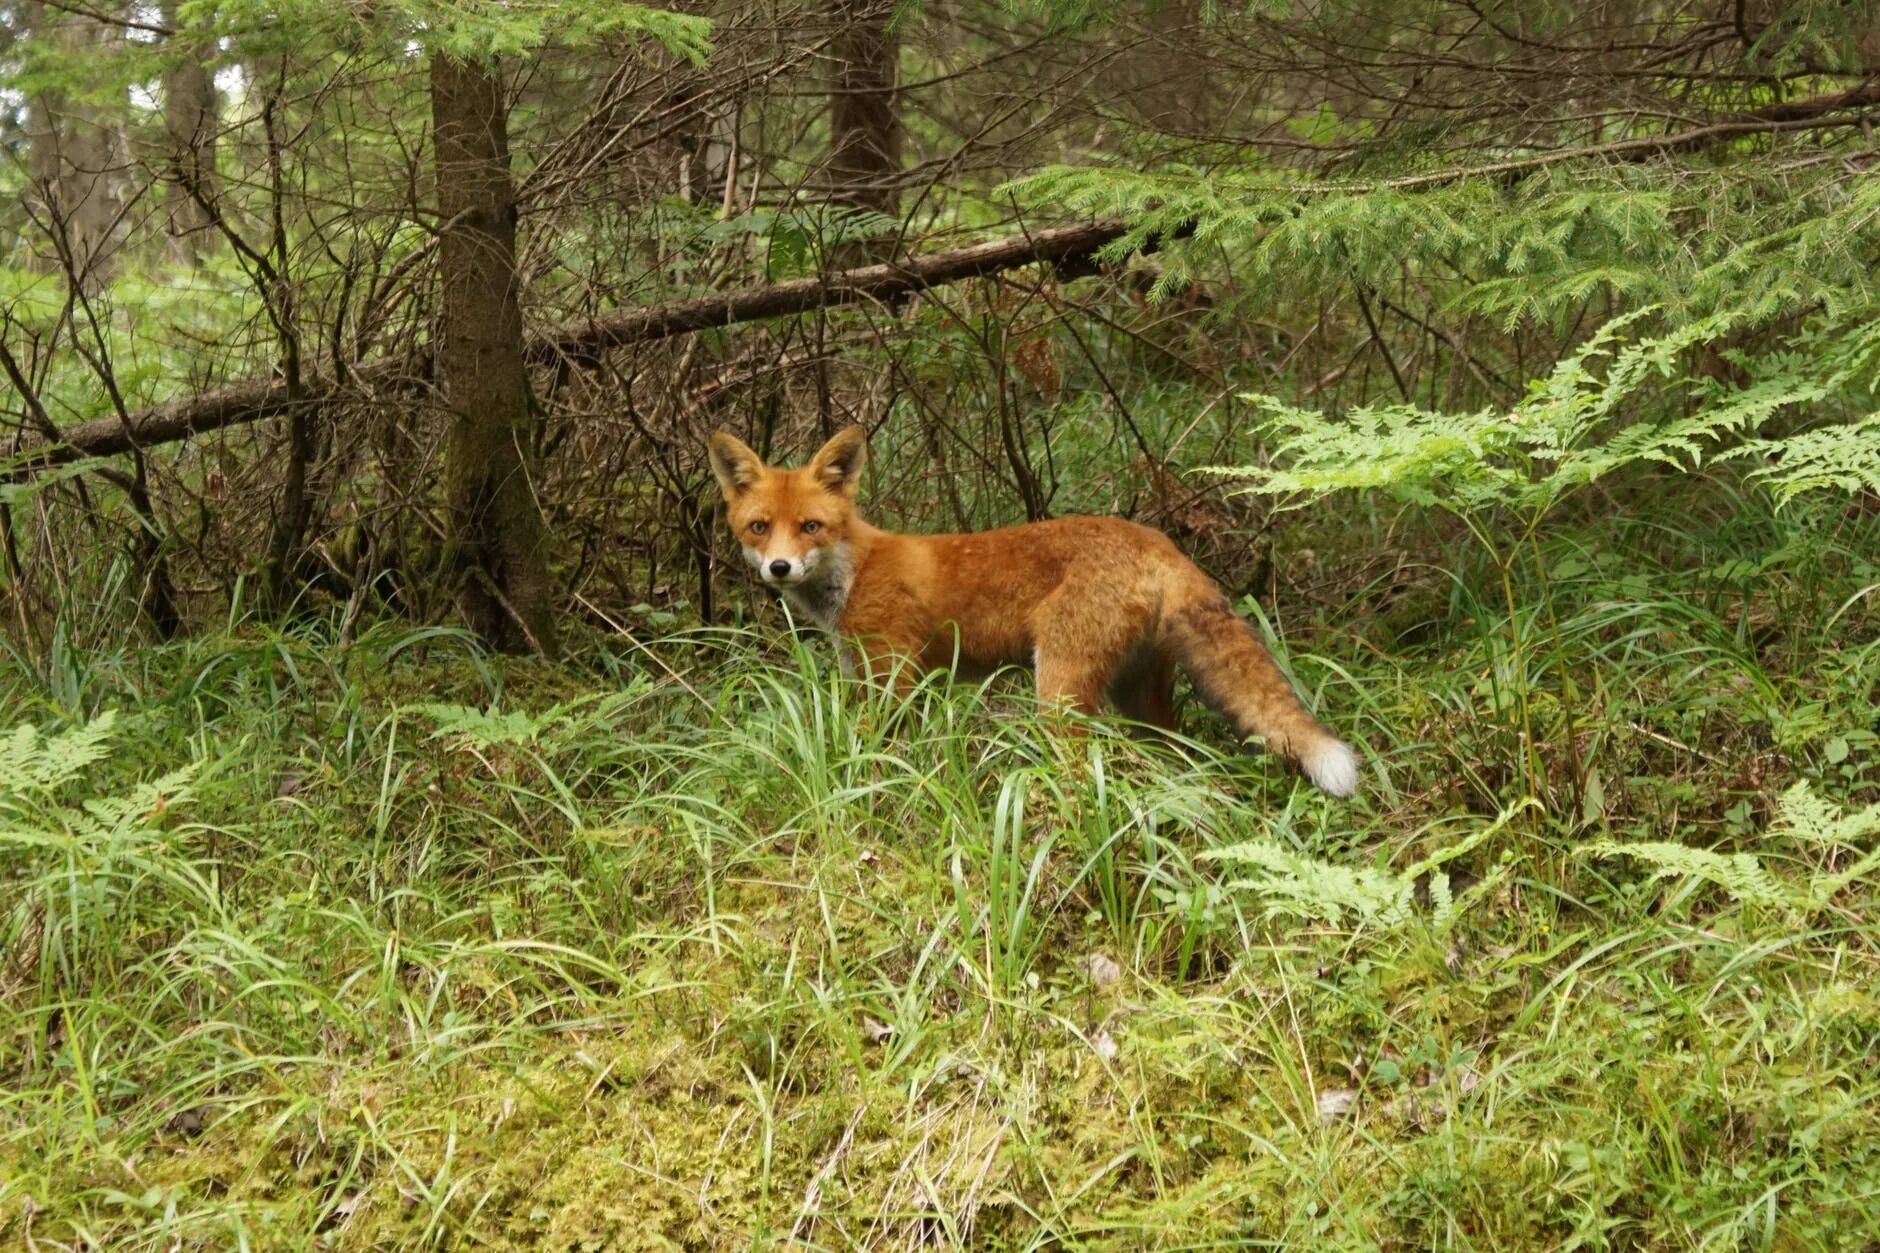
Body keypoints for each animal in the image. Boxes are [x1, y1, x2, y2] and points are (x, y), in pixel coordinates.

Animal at [710, 425, 1361, 793]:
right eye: (760, 527)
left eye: (810, 527)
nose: (779, 568)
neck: (855, 571)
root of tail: (1158, 542)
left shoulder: (896, 674)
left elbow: (880, 752)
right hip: (1138, 698)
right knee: (1174, 752)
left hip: (1059, 688)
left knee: (1085, 758)